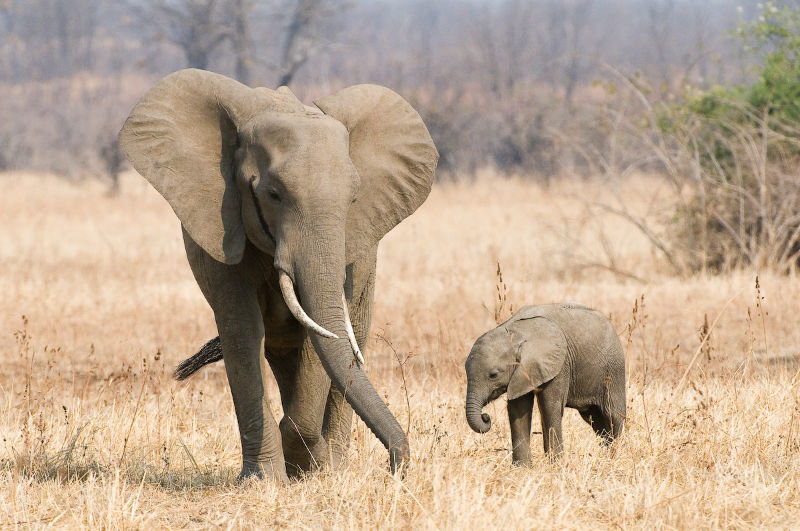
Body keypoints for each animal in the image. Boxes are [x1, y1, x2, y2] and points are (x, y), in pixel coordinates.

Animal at [118, 69, 438, 481]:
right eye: (273, 194)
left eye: (353, 200)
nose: (396, 468)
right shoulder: (223, 227)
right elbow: (242, 330)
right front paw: (264, 480)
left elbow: (324, 335)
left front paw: (310, 464)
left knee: (348, 343)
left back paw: (330, 466)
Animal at [464, 303, 626, 464]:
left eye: (494, 375)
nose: (486, 417)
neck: (516, 333)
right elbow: (518, 409)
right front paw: (522, 467)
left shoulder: (560, 365)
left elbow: (550, 407)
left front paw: (556, 464)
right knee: (596, 420)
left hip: (613, 370)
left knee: (613, 416)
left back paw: (615, 458)